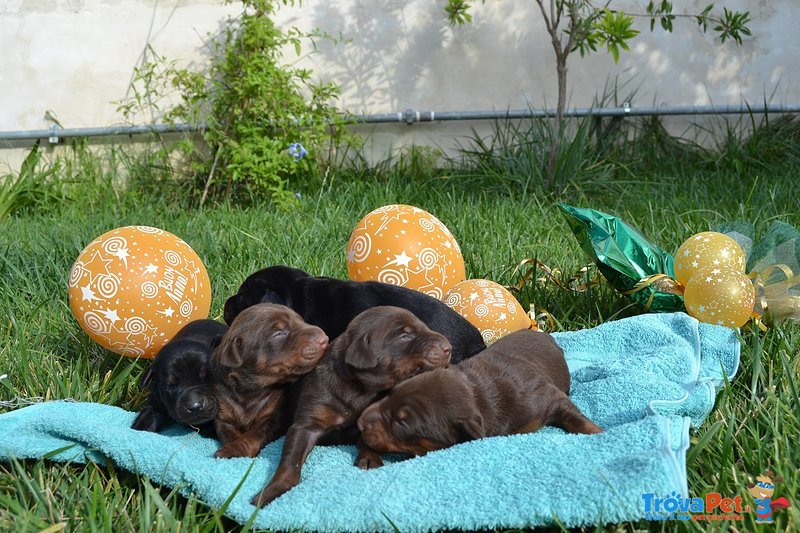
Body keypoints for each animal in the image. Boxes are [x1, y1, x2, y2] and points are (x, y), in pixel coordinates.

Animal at [211, 304, 330, 458]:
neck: (250, 390)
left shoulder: (273, 417)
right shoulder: (223, 417)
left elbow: (252, 436)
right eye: (279, 333)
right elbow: (230, 434)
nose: (324, 339)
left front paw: (233, 450)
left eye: (301, 320)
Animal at [252, 306, 450, 504]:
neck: (361, 389)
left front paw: (369, 458)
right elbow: (291, 460)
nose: (448, 347)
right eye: (405, 336)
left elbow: (368, 437)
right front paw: (272, 490)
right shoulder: (307, 424)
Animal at [356, 328, 600, 458]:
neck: (477, 391)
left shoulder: (544, 396)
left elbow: (574, 415)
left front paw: (599, 433)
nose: (360, 423)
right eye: (390, 393)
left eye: (402, 423)